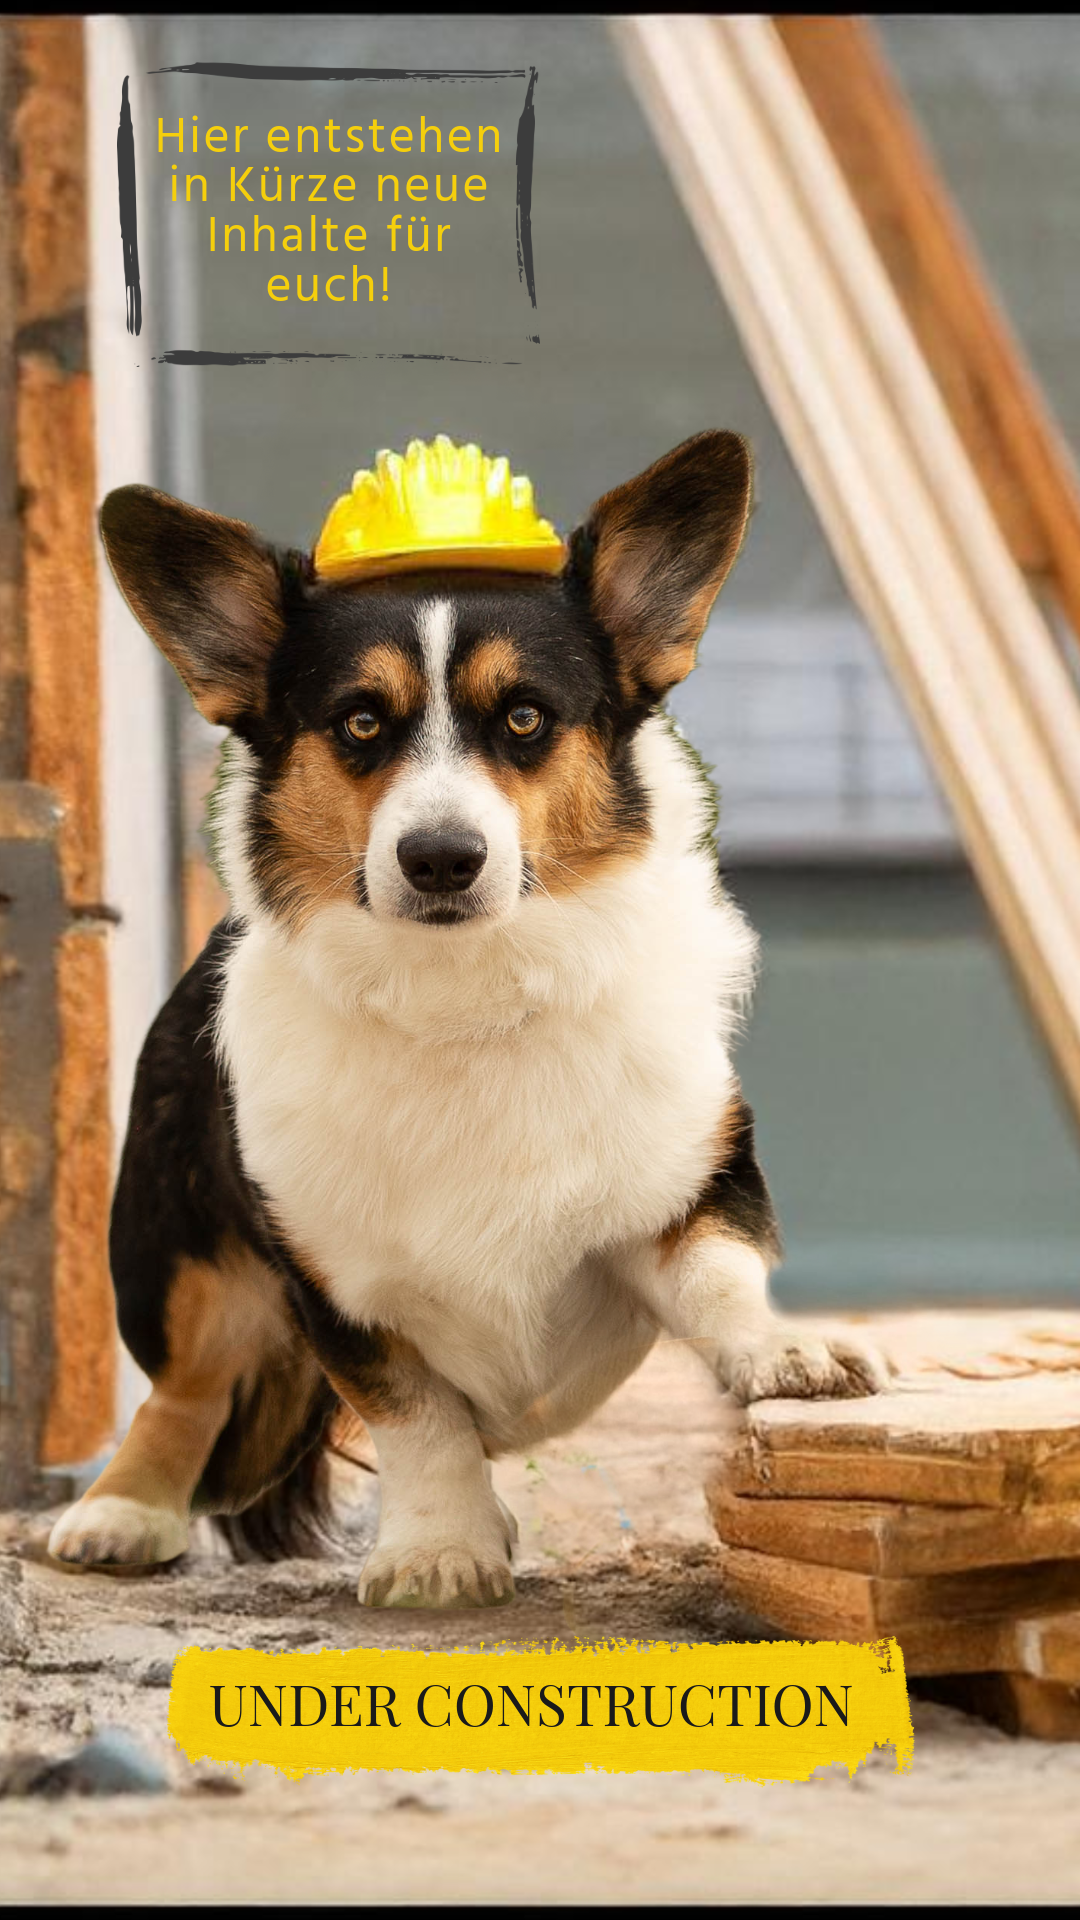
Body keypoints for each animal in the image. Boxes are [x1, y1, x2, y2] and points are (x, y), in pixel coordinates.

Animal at [48, 435, 883, 1605]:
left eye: (525, 718)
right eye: (360, 724)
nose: (441, 858)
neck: (466, 997)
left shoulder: (697, 1179)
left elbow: (719, 1271)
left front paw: (782, 1354)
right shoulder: (337, 1291)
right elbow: (419, 1419)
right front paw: (439, 1549)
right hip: (174, 1246)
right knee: (190, 1381)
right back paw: (121, 1511)